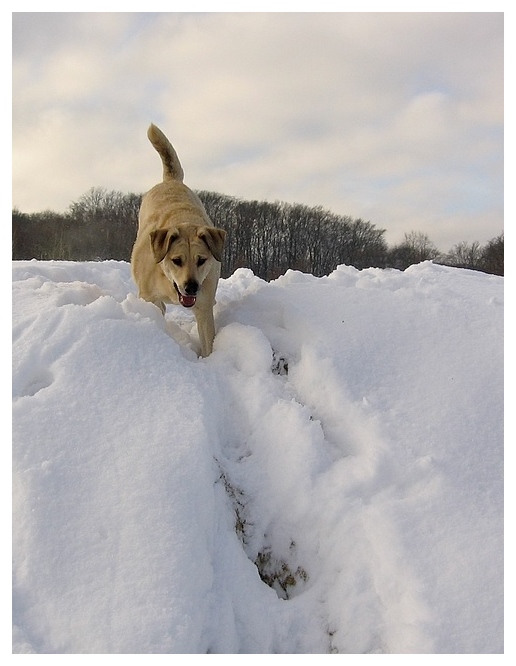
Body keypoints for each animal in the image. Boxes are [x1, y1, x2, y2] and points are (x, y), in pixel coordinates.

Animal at [130, 122, 225, 356]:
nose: (191, 287)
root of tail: (171, 181)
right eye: (176, 260)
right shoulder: (148, 296)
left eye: (201, 260)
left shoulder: (203, 306)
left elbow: (208, 339)